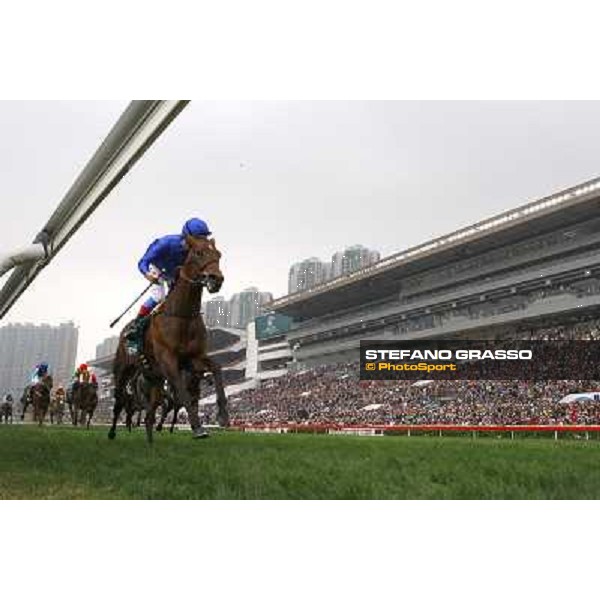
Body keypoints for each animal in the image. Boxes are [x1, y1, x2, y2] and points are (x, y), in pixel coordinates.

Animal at [109, 237, 229, 442]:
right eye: (198, 253)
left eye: (218, 255)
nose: (217, 279)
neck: (182, 315)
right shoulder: (169, 362)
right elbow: (182, 392)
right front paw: (198, 428)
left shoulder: (192, 359)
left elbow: (216, 367)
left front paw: (223, 416)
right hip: (123, 370)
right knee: (119, 401)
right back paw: (112, 432)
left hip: (154, 377)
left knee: (149, 412)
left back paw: (150, 439)